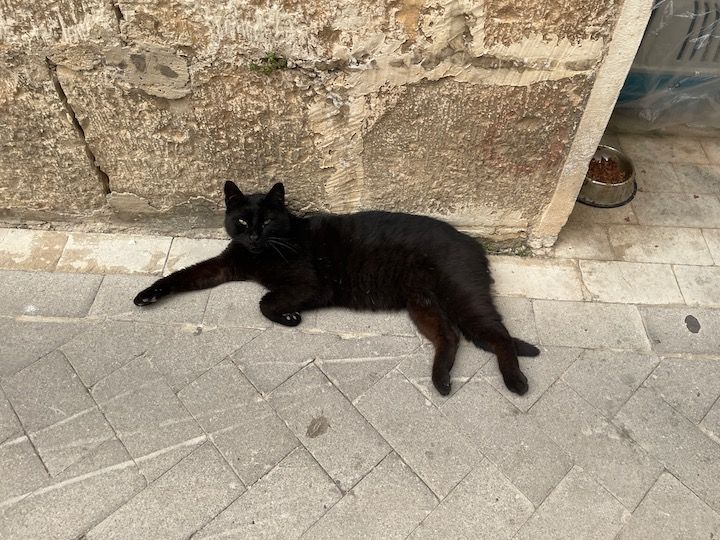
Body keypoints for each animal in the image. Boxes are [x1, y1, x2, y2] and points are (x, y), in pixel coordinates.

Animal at [134, 181, 539, 396]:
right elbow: (184, 275)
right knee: (451, 337)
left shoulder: (309, 284)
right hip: (422, 304)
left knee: (498, 335)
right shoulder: (224, 266)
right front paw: (147, 294)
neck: (261, 255)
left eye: (267, 221)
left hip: (459, 295)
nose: (253, 236)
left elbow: (265, 302)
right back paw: (440, 380)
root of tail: (474, 243)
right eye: (243, 221)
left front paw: (290, 317)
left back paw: (515, 381)